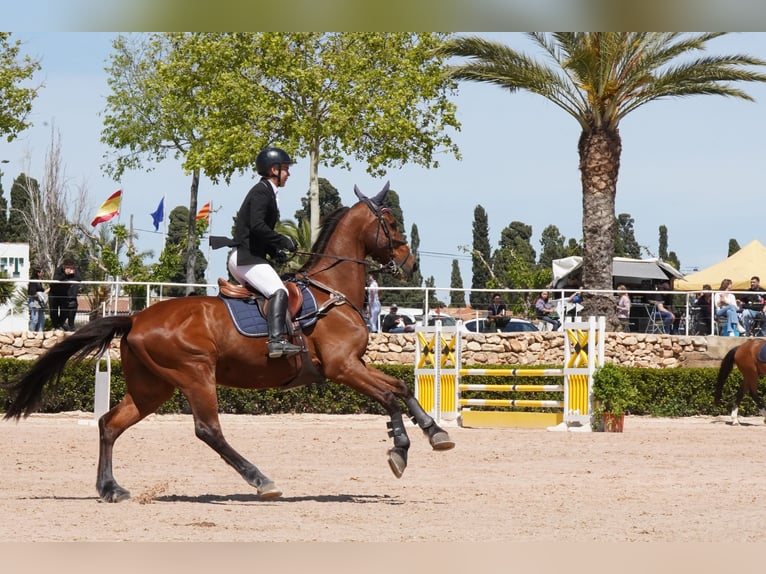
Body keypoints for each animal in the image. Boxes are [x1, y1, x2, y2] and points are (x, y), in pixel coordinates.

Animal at [2, 183, 455, 502]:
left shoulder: (354, 365)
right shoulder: (342, 367)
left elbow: (400, 388)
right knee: (209, 430)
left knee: (110, 424)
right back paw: (261, 480)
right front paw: (400, 450)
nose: (410, 264)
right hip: (196, 375)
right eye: (391, 224)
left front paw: (436, 433)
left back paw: (111, 488)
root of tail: (135, 317)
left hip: (152, 387)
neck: (332, 291)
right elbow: (389, 396)